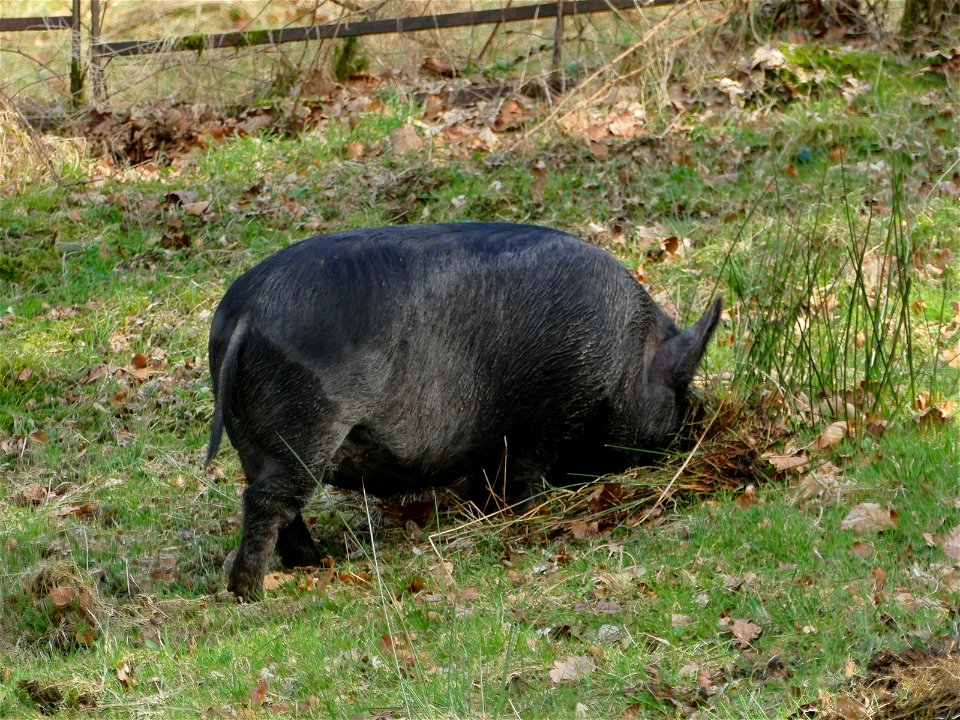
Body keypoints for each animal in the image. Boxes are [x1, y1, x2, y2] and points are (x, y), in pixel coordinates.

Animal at [208, 224, 720, 596]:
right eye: (680, 388)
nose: (691, 432)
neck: (630, 356)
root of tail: (246, 311)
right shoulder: (548, 417)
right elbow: (525, 475)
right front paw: (529, 515)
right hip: (308, 426)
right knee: (266, 502)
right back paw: (250, 590)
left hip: (251, 438)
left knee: (275, 502)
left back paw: (312, 564)